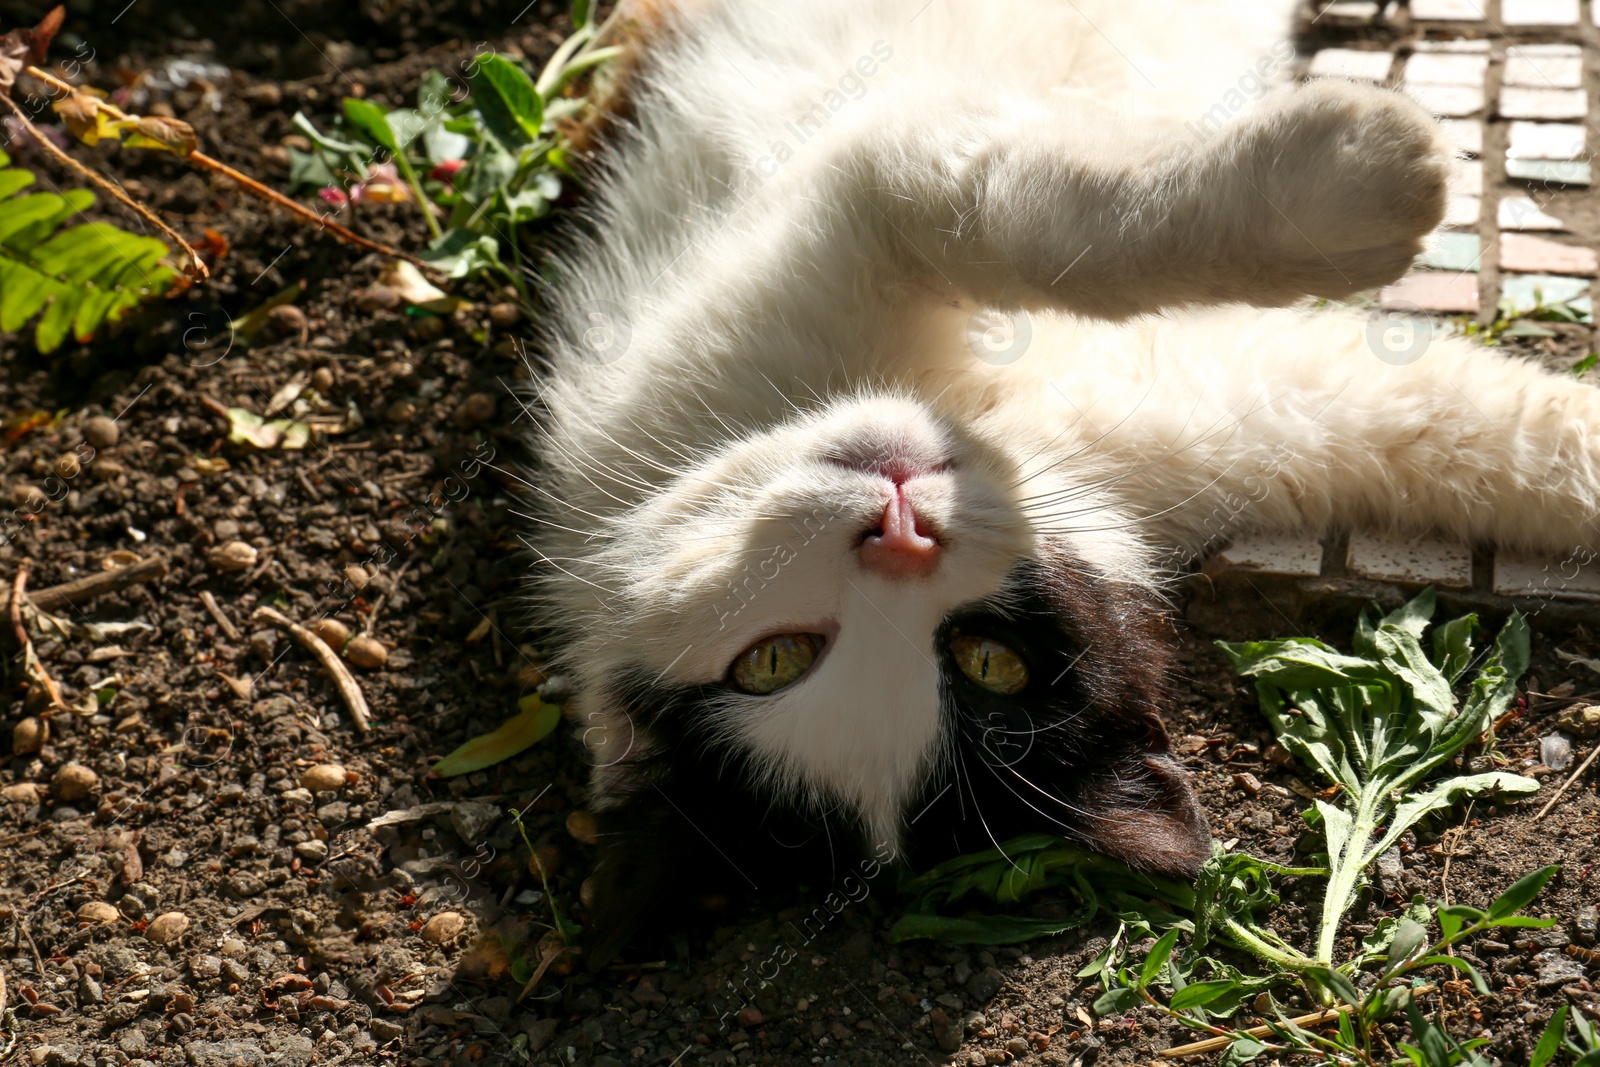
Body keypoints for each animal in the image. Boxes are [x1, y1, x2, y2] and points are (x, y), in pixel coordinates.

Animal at [521, 0, 1600, 966]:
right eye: (775, 660)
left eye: (989, 658)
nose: (902, 533)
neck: (1015, 421)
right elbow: (1025, 213)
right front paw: (1364, 174)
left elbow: (1037, 227)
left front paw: (1345, 192)